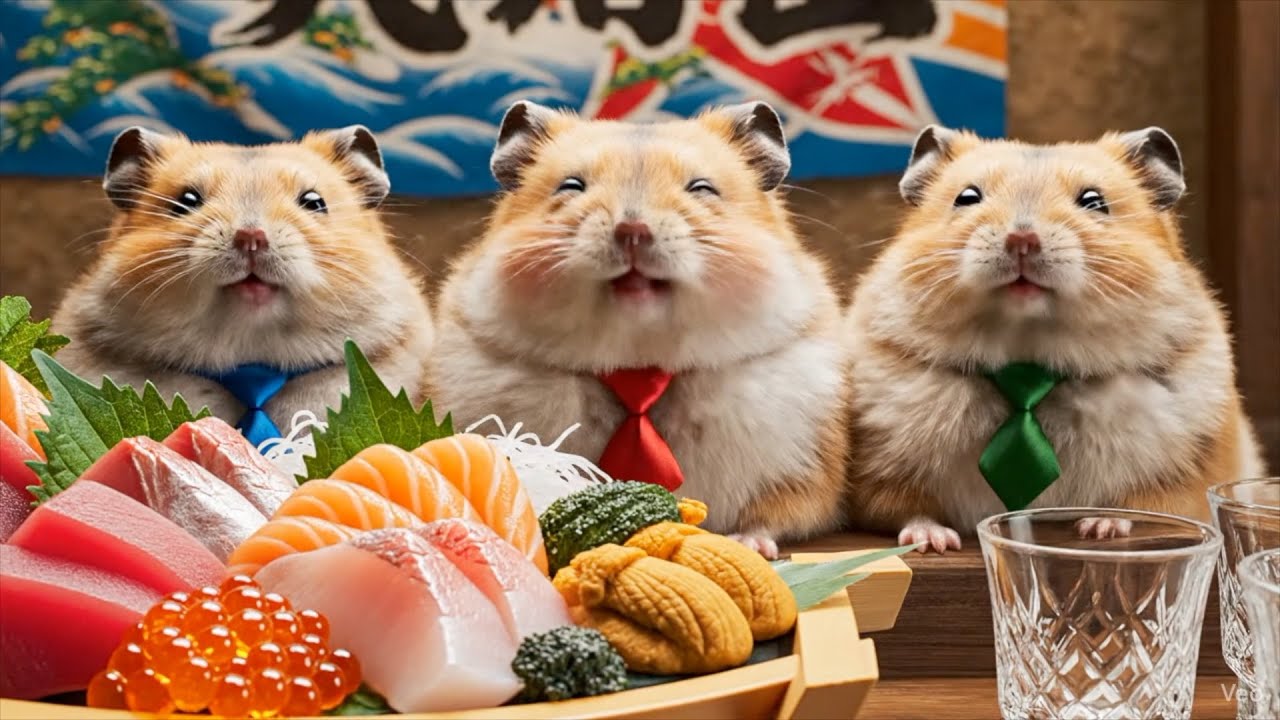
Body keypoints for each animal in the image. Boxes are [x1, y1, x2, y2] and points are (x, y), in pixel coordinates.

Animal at [427, 101, 850, 557]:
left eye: (702, 188)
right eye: (571, 185)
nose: (632, 231)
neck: (639, 363)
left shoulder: (802, 471)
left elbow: (773, 516)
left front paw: (748, 545)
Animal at [845, 125, 1266, 553]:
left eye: (1094, 201)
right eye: (966, 197)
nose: (1022, 240)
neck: (1028, 360)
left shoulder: (1185, 474)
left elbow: (1140, 508)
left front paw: (1099, 528)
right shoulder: (883, 471)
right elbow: (907, 509)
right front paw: (935, 542)